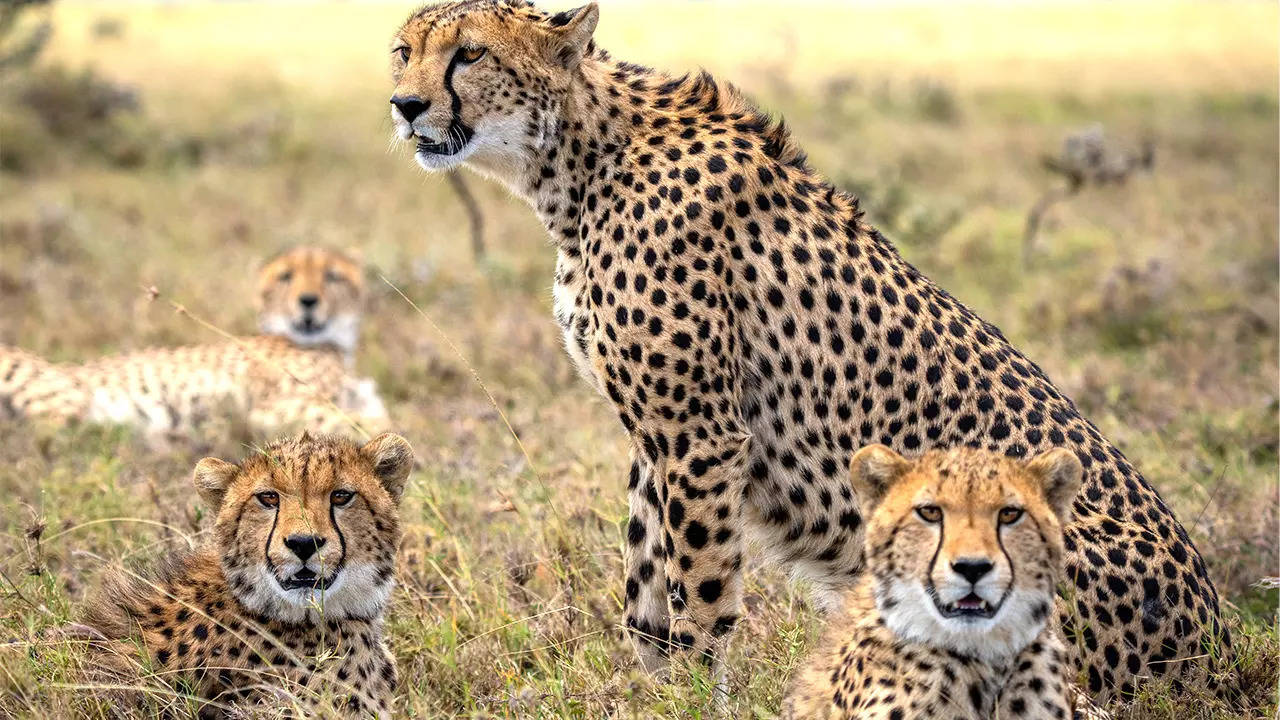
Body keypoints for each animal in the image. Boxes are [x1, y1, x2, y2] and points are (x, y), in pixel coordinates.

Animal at [1, 244, 389, 438]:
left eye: (332, 276)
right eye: (285, 277)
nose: (308, 301)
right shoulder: (274, 409)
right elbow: (375, 425)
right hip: (60, 395)